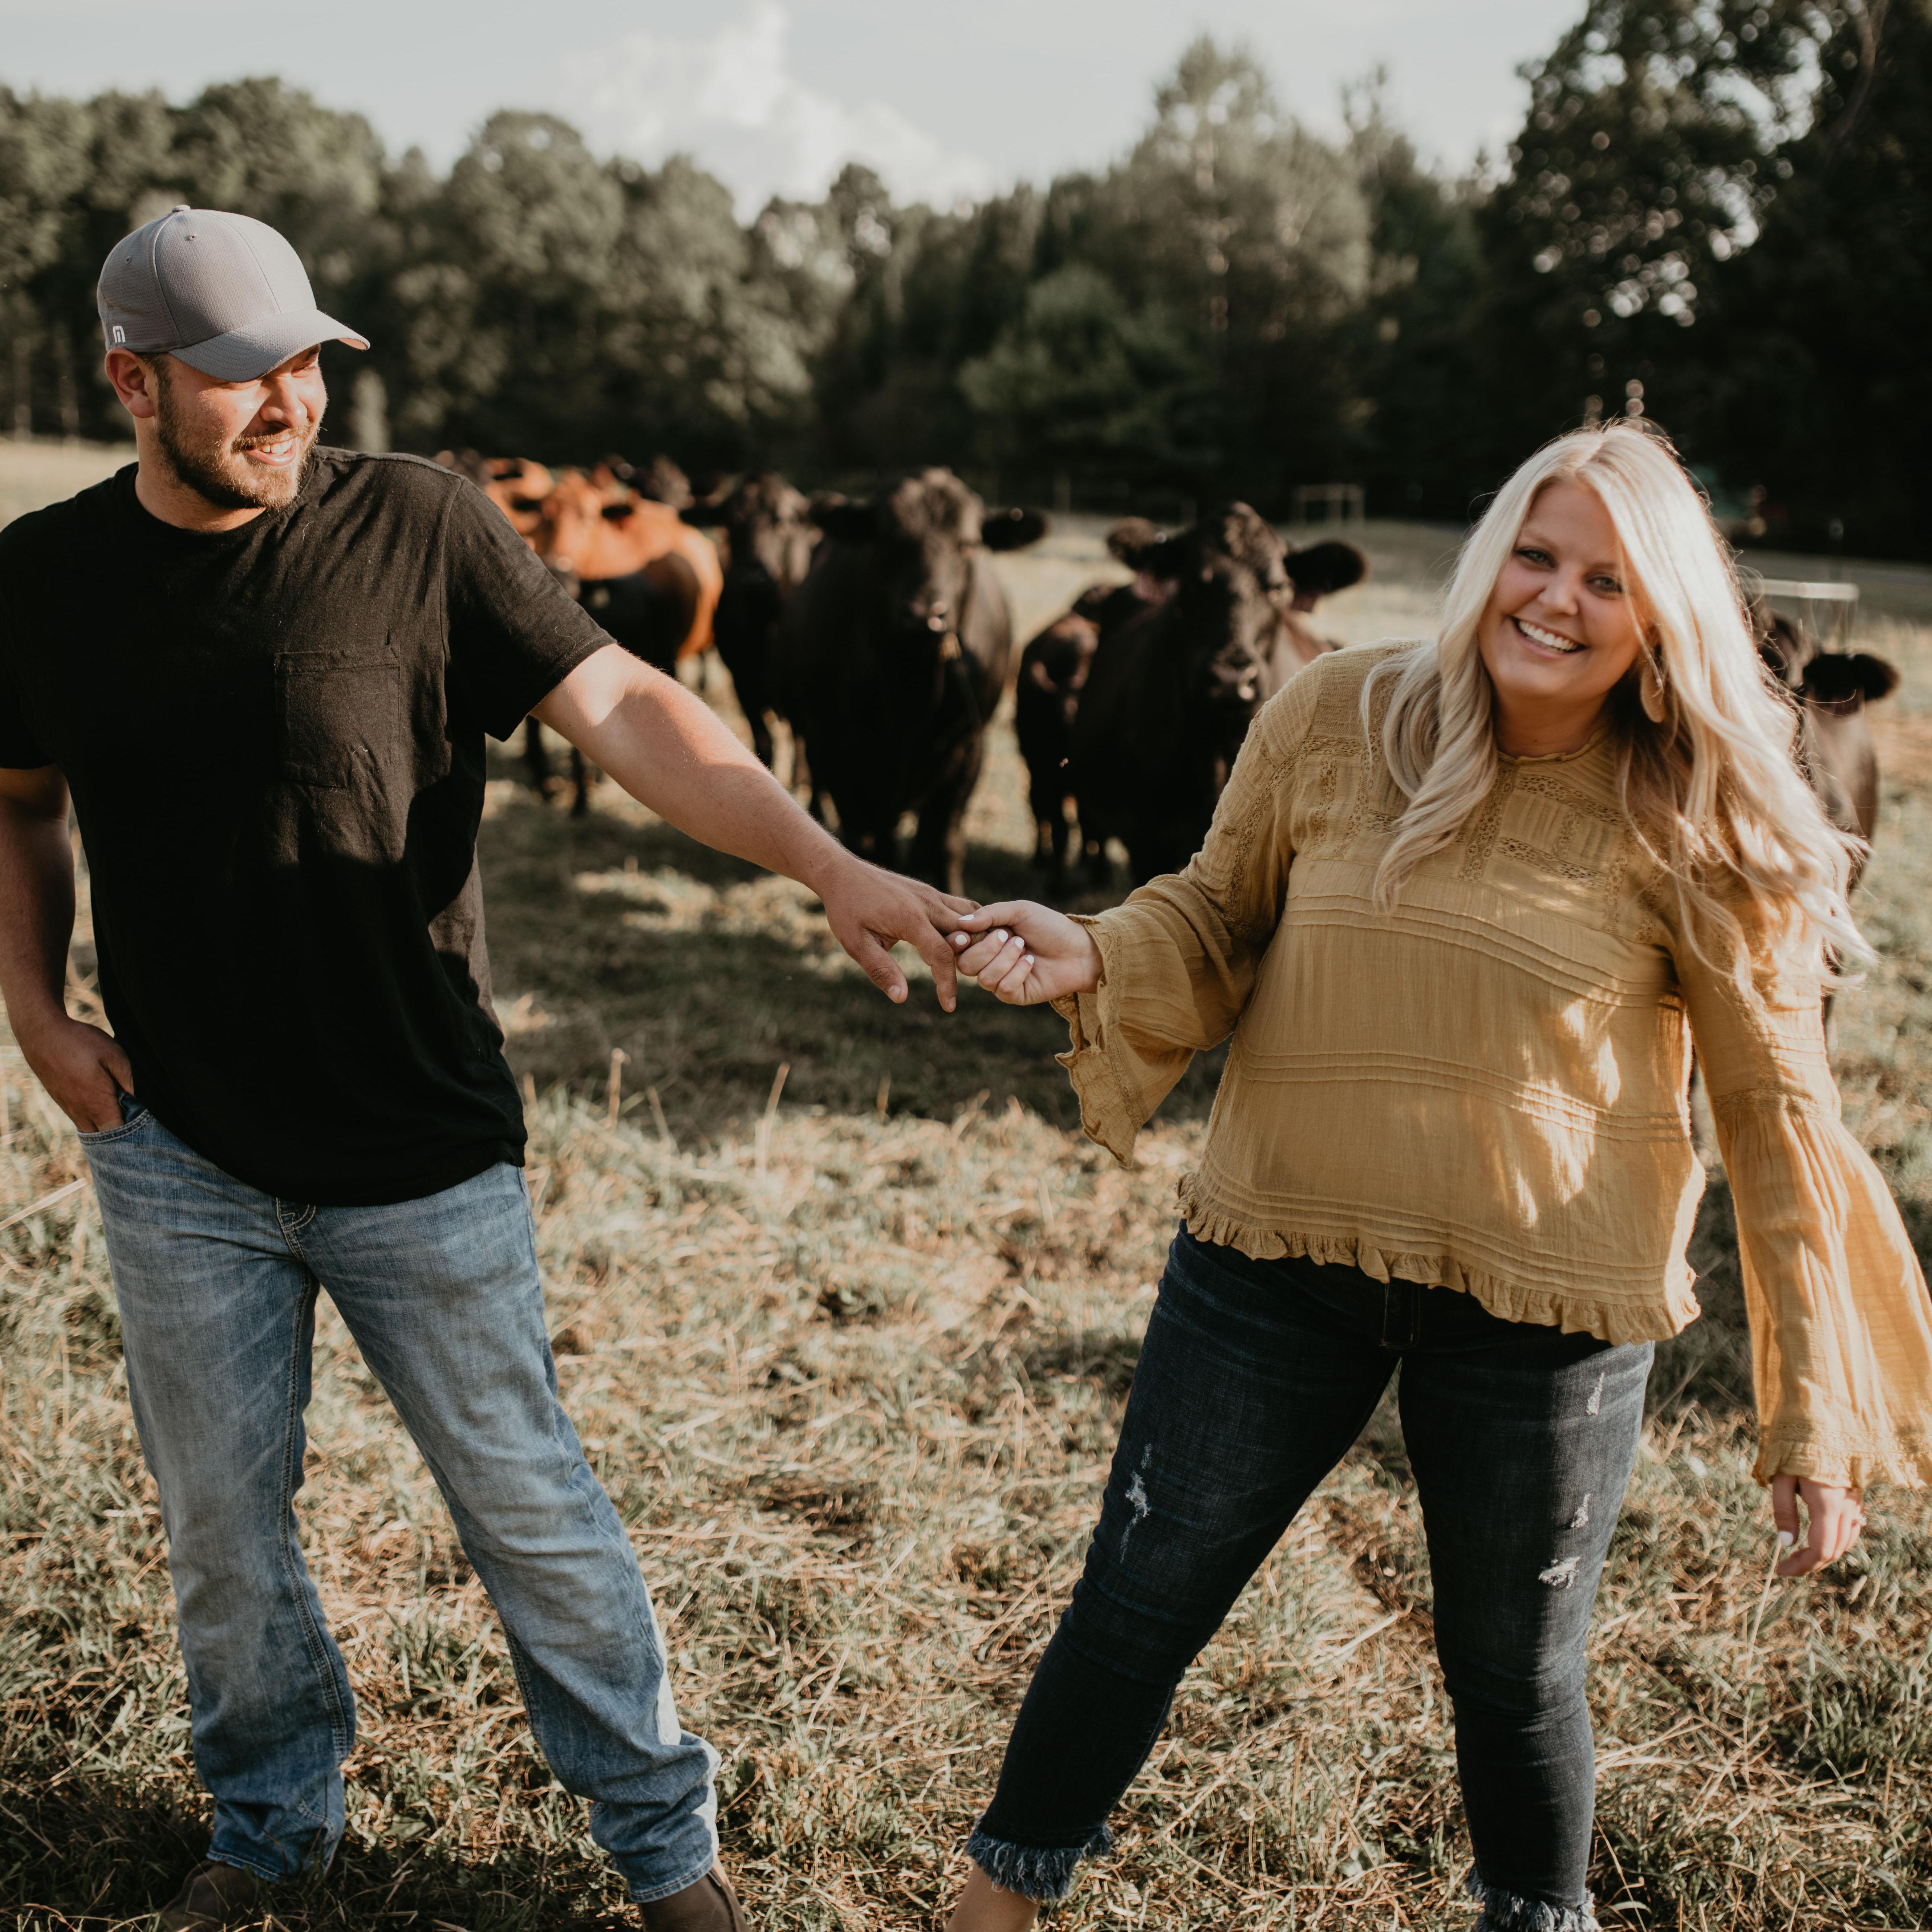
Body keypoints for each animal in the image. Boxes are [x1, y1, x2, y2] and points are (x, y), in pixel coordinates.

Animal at [769, 467, 1051, 896]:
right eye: (887, 539)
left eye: (968, 544)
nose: (924, 616)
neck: (910, 692)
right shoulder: (836, 750)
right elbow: (863, 842)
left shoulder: (967, 746)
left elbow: (947, 841)